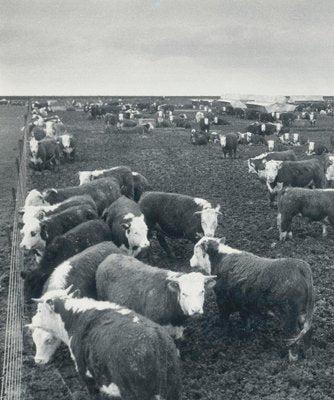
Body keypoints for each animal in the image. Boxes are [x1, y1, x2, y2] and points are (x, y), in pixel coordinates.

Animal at [28, 290, 181, 400]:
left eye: (39, 310)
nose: (32, 320)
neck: (74, 317)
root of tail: (158, 339)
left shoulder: (86, 375)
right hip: (172, 388)